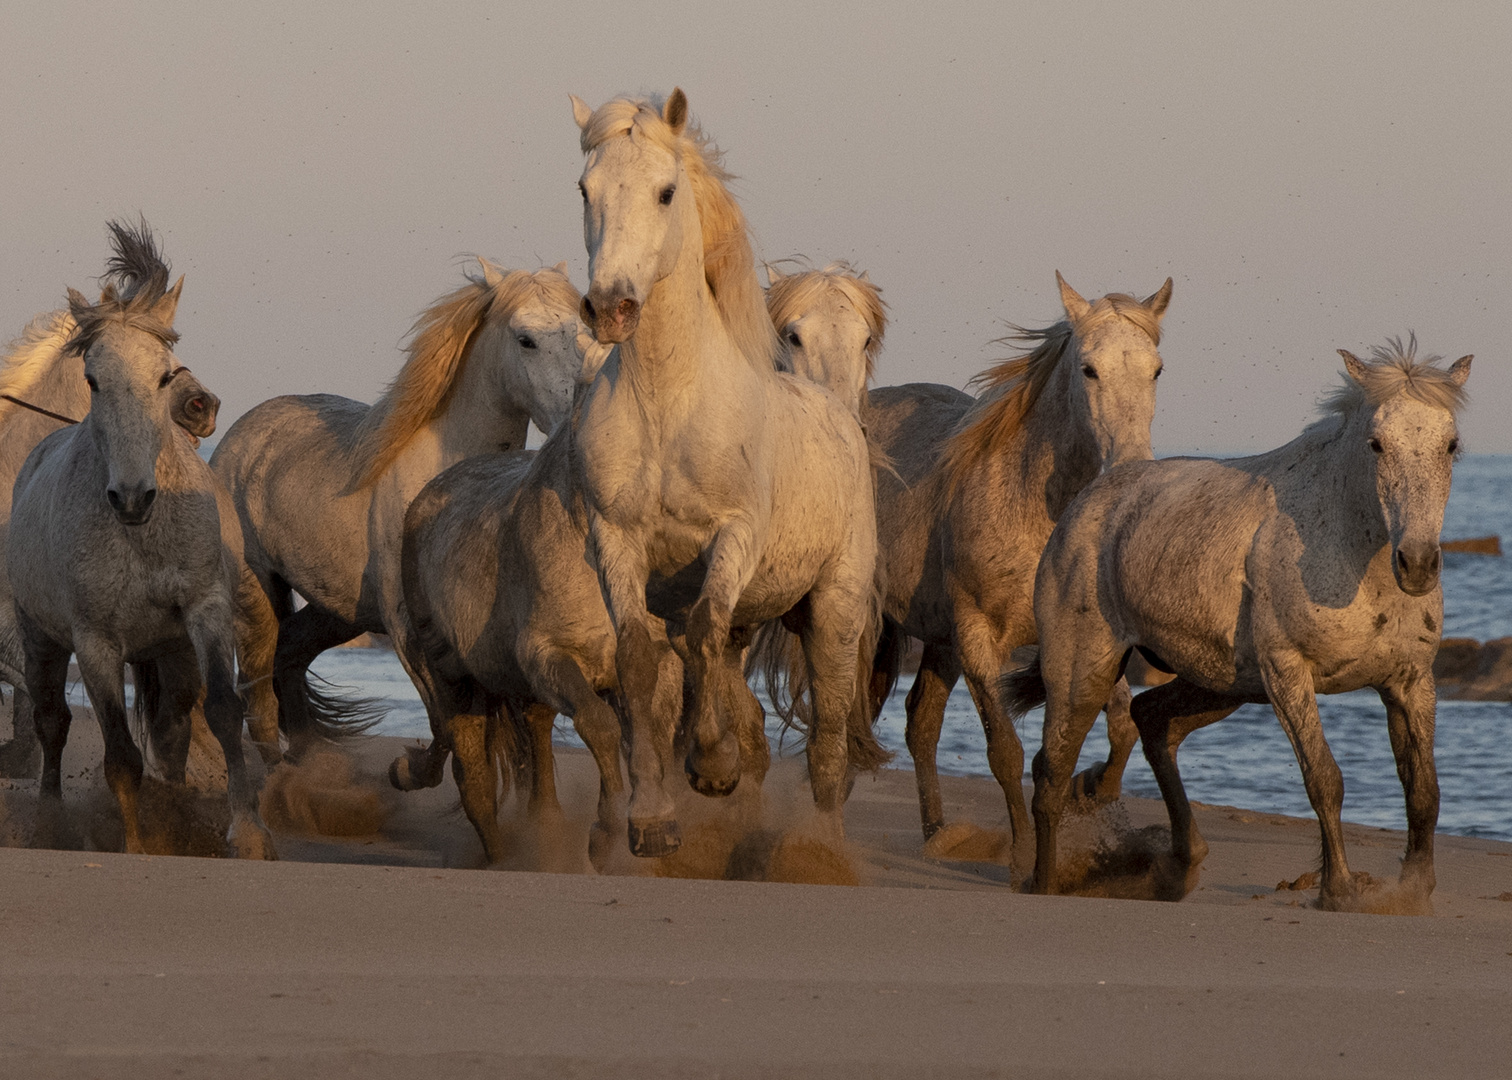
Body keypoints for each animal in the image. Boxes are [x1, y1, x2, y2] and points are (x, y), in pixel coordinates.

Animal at [568, 90, 883, 847]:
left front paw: (712, 768)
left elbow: (707, 627)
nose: (611, 306)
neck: (668, 402)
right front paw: (653, 816)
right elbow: (638, 658)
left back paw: (822, 850)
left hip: (834, 611)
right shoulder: (614, 541)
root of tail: (841, 417)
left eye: (666, 191)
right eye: (585, 189)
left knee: (828, 746)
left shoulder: (734, 537)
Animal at [1010, 338, 1469, 907]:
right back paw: (1044, 883)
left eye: (1450, 444)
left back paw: (1182, 862)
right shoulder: (1287, 673)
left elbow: (1423, 790)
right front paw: (1338, 890)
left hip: (1225, 684)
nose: (1418, 564)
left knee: (1150, 718)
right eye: (1377, 444)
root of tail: (1082, 508)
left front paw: (1414, 892)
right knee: (1051, 772)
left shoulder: (1409, 682)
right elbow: (1324, 779)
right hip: (1083, 672)